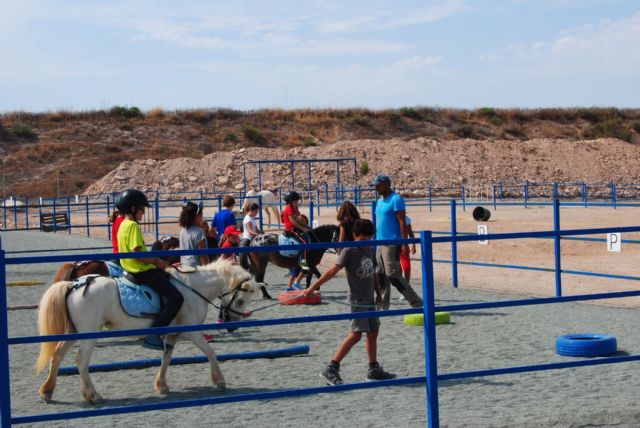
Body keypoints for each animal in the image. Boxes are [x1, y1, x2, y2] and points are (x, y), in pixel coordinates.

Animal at [34, 258, 260, 404]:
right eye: (241, 300)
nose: (232, 325)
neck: (193, 288)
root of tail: (75, 284)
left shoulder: (172, 334)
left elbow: (166, 358)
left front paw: (162, 385)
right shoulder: (192, 331)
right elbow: (210, 352)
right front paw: (219, 380)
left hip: (73, 332)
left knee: (57, 355)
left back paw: (47, 391)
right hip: (89, 334)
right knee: (81, 362)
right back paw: (93, 395)